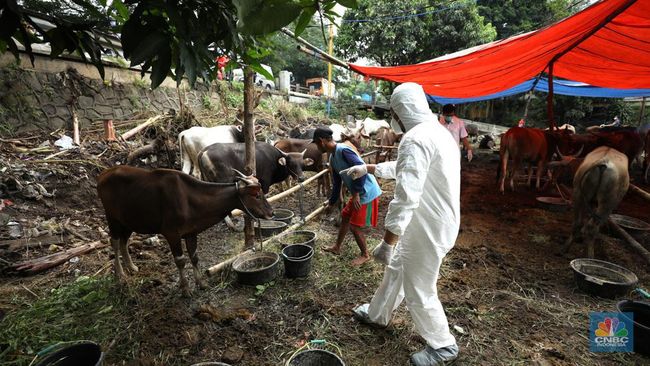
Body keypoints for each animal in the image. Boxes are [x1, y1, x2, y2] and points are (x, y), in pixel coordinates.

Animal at [96, 165, 270, 294]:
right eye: (256, 195)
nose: (271, 212)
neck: (190, 199)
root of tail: (102, 175)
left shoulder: (191, 233)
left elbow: (194, 257)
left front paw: (201, 283)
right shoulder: (171, 234)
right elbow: (180, 260)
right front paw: (185, 288)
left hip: (128, 221)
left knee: (124, 242)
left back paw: (131, 267)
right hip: (112, 218)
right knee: (115, 242)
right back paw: (120, 275)